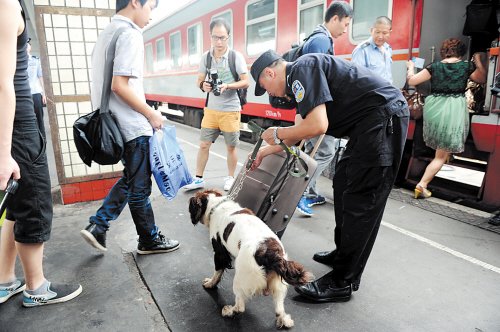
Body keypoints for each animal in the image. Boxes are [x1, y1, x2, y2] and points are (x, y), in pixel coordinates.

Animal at [188, 189, 312, 330]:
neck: (216, 205)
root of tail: (271, 253)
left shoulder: (220, 252)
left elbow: (217, 271)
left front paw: (210, 284)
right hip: (278, 284)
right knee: (279, 309)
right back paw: (285, 321)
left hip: (241, 277)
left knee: (240, 307)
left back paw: (228, 311)